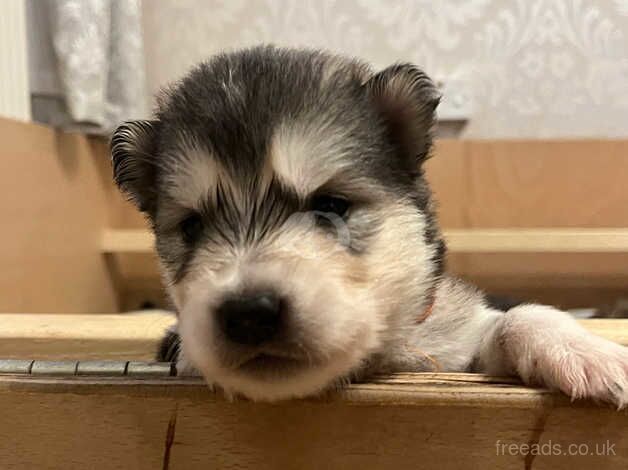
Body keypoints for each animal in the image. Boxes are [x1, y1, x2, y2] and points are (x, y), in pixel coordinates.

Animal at [110, 46, 624, 404]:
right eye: (192, 227)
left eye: (331, 205)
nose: (248, 311)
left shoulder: (454, 345)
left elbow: (516, 316)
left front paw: (586, 352)